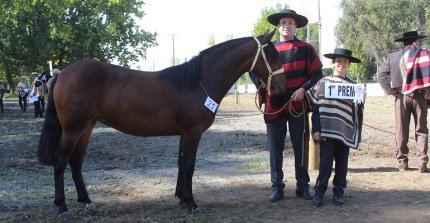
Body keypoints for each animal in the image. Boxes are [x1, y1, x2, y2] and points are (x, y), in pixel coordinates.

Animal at [37, 29, 286, 218]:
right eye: (273, 56)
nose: (283, 88)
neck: (199, 81)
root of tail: (62, 73)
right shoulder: (192, 132)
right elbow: (189, 165)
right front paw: (192, 204)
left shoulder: (184, 133)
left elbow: (181, 163)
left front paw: (182, 199)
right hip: (72, 129)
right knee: (60, 162)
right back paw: (62, 207)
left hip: (86, 128)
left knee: (76, 162)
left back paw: (87, 201)